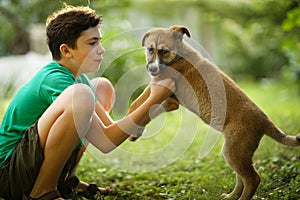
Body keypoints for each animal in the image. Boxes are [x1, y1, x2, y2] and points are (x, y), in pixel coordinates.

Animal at [128, 25, 300, 199]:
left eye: (163, 51)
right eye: (150, 49)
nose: (152, 69)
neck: (179, 55)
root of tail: (264, 120)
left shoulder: (158, 87)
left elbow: (137, 103)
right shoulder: (170, 102)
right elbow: (146, 112)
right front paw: (135, 131)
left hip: (234, 151)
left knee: (253, 179)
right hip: (237, 153)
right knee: (241, 178)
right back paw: (231, 196)